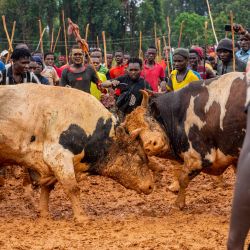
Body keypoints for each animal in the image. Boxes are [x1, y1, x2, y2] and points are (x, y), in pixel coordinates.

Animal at [0, 85, 162, 222]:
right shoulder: (58, 156)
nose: (150, 186)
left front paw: (44, 214)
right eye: (139, 155)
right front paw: (81, 217)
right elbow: (73, 188)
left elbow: (46, 188)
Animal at [123, 72, 246, 209]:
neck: (179, 114)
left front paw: (179, 203)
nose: (151, 145)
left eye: (151, 120)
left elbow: (183, 178)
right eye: (137, 135)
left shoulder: (198, 157)